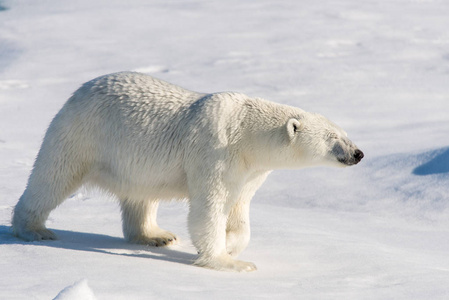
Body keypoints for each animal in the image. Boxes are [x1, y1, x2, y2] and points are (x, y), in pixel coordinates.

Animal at [11, 72, 360, 272]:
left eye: (346, 133)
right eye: (333, 138)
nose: (358, 154)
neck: (245, 131)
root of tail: (82, 88)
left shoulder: (249, 170)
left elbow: (239, 211)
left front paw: (231, 243)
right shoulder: (214, 151)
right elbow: (209, 209)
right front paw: (230, 261)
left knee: (141, 196)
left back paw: (156, 235)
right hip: (82, 134)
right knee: (53, 177)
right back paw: (34, 230)